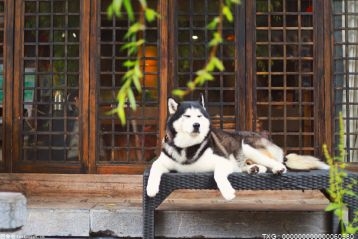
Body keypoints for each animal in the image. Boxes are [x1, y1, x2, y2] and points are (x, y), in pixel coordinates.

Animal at [146, 95, 330, 200]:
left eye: (199, 116)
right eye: (187, 116)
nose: (197, 125)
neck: (188, 147)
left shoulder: (223, 161)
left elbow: (218, 174)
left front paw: (227, 192)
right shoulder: (164, 160)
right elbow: (154, 167)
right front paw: (151, 188)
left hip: (247, 145)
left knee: (277, 164)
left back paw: (276, 168)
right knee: (253, 166)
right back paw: (253, 168)